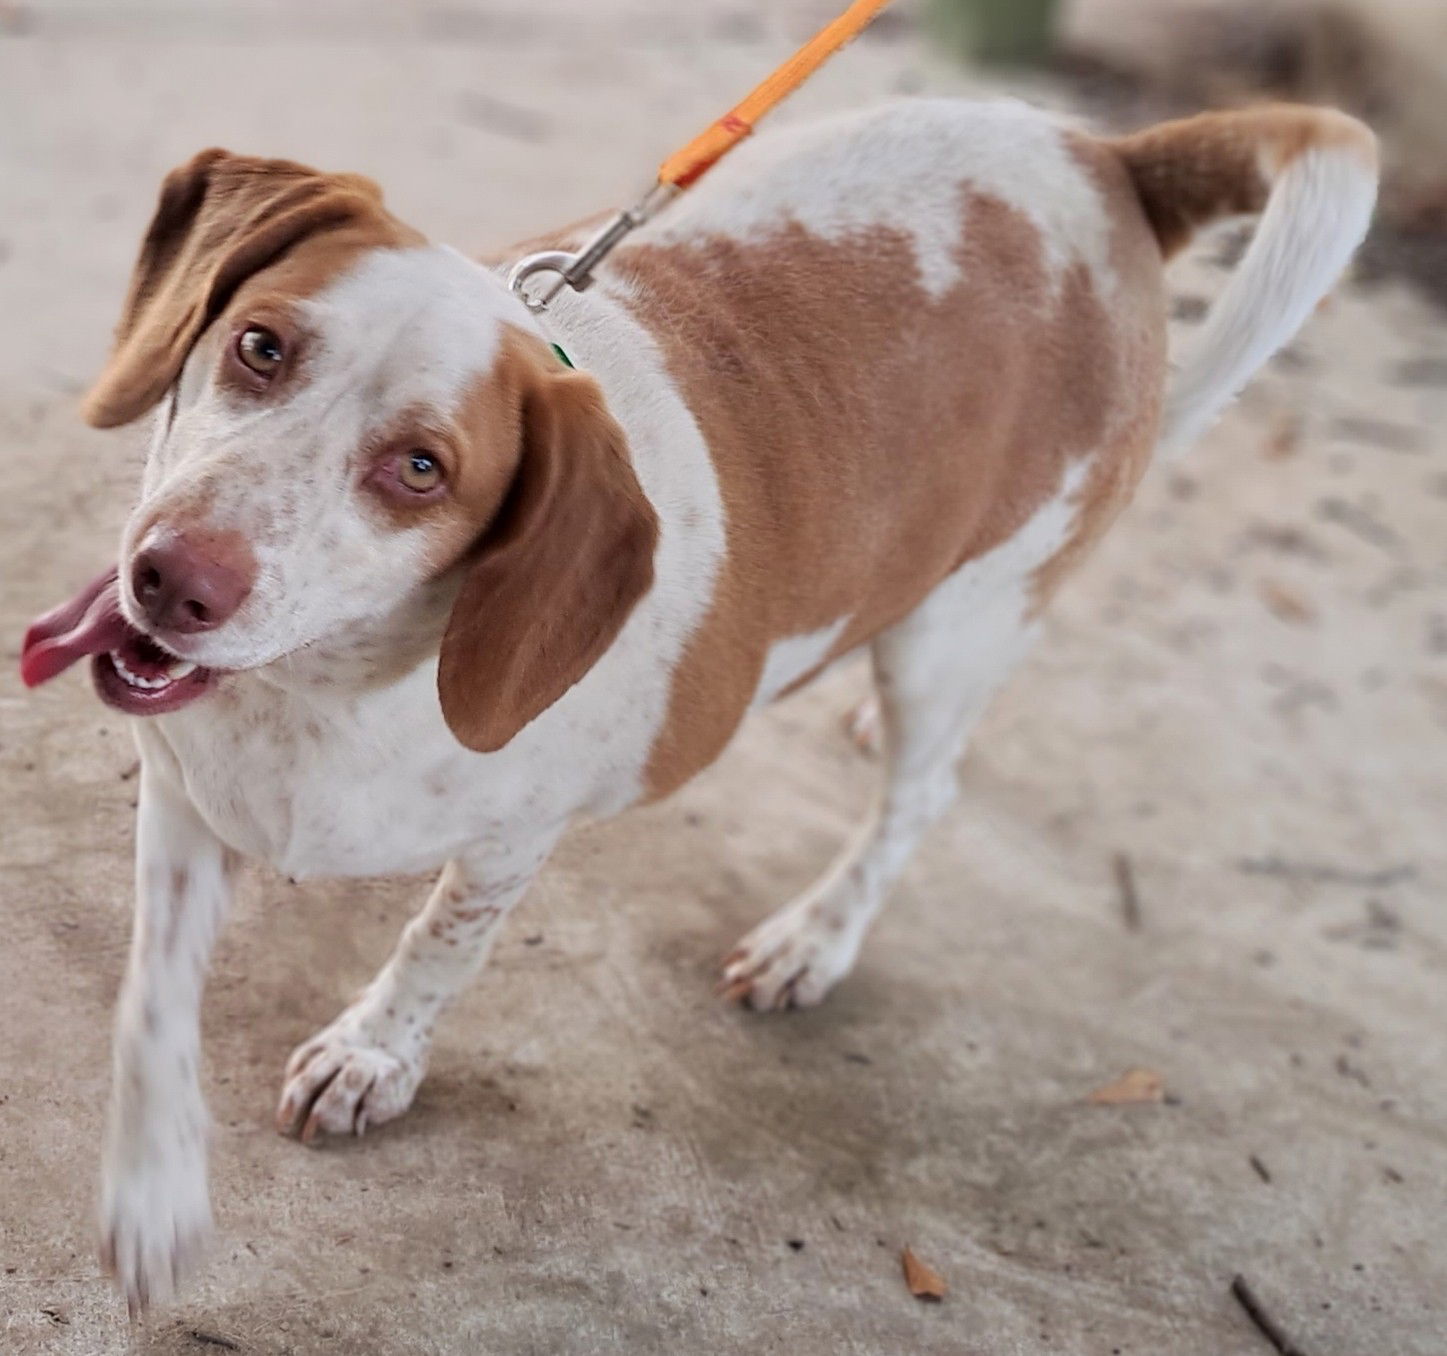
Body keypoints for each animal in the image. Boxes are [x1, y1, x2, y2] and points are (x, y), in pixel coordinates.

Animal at [25, 92, 1377, 1302]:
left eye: (420, 469)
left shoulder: (508, 846)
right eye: (260, 346)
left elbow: (436, 947)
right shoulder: (185, 800)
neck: (322, 693)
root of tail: (1107, 159)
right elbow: (154, 1006)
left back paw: (812, 938)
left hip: (955, 630)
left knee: (924, 792)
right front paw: (153, 1199)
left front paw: (370, 1056)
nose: (172, 580)